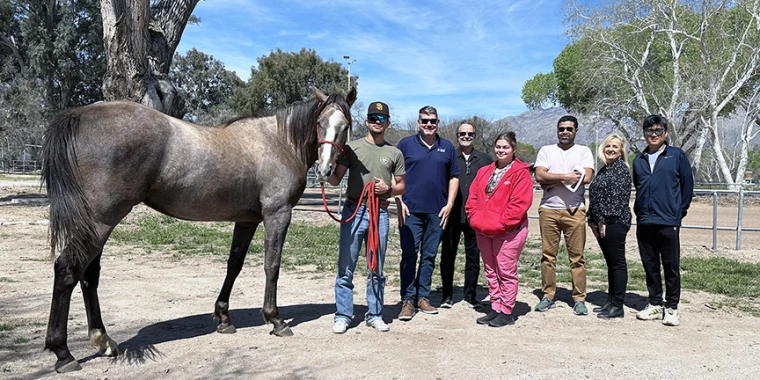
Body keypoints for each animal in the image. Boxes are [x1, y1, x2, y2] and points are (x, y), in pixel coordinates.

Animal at [43, 86, 358, 372]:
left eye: (345, 126)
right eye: (320, 123)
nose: (326, 170)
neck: (278, 142)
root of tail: (80, 115)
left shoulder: (247, 220)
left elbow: (234, 265)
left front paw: (223, 319)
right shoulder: (277, 214)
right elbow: (272, 265)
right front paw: (275, 320)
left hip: (98, 223)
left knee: (89, 276)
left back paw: (103, 341)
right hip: (101, 222)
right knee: (67, 270)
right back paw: (63, 353)